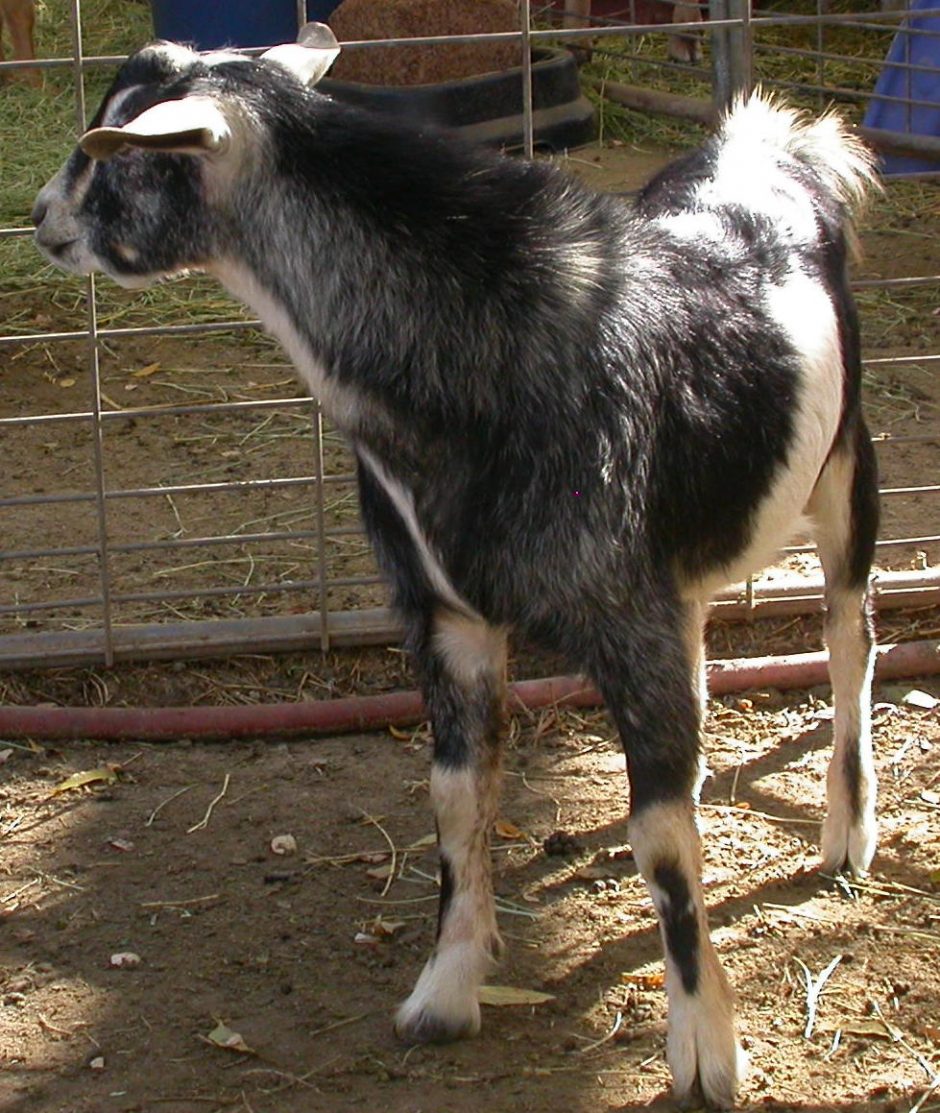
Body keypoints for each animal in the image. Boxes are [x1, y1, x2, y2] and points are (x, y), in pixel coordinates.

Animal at [32, 24, 880, 1108]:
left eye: (112, 152)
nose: (40, 217)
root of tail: (772, 143)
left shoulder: (622, 613)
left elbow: (661, 840)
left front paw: (703, 1046)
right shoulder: (448, 614)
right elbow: (456, 798)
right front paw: (445, 987)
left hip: (845, 465)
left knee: (848, 636)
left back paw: (845, 829)